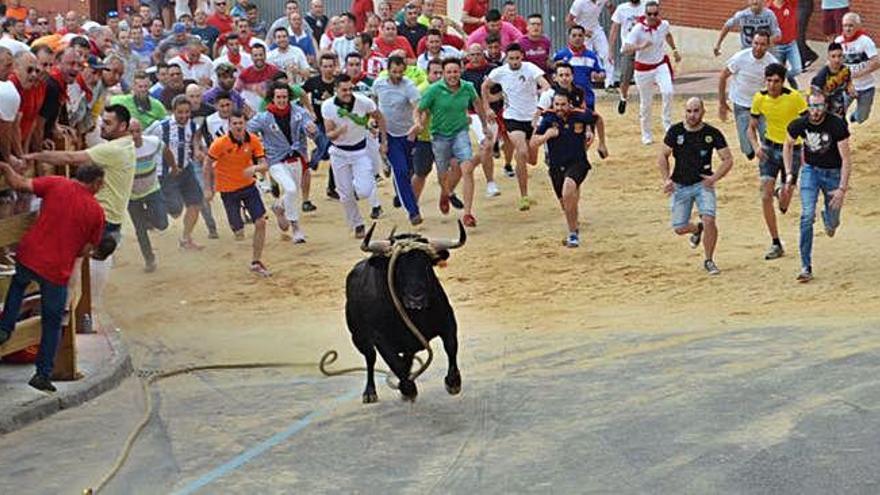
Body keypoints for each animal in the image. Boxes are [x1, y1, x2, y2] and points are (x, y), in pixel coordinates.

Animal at [346, 223, 468, 404]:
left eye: (426, 265)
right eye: (397, 268)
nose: (416, 299)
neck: (414, 316)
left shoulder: (448, 321)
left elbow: (451, 346)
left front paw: (453, 382)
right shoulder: (380, 338)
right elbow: (394, 362)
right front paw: (408, 389)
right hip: (359, 338)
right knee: (370, 359)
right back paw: (370, 392)